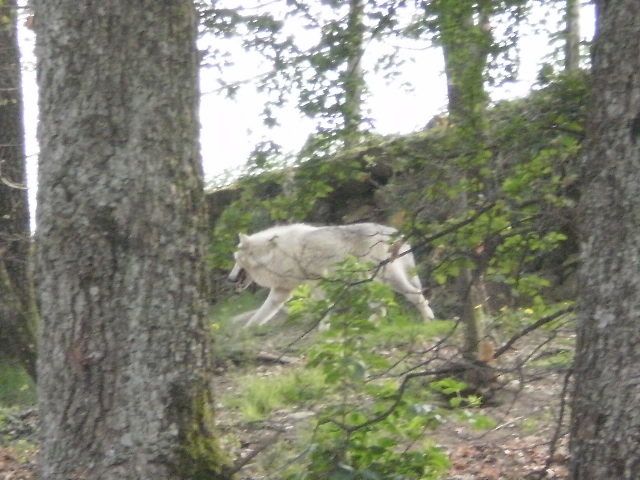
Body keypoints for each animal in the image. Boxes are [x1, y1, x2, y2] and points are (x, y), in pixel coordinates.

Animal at [226, 221, 436, 326]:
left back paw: (428, 320)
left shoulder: (315, 282)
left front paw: (322, 327)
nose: (229, 279)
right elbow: (260, 315)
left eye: (235, 259)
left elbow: (323, 308)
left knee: (415, 296)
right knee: (383, 306)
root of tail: (393, 231)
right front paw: (246, 332)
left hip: (383, 278)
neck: (273, 253)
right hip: (372, 282)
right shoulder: (283, 291)